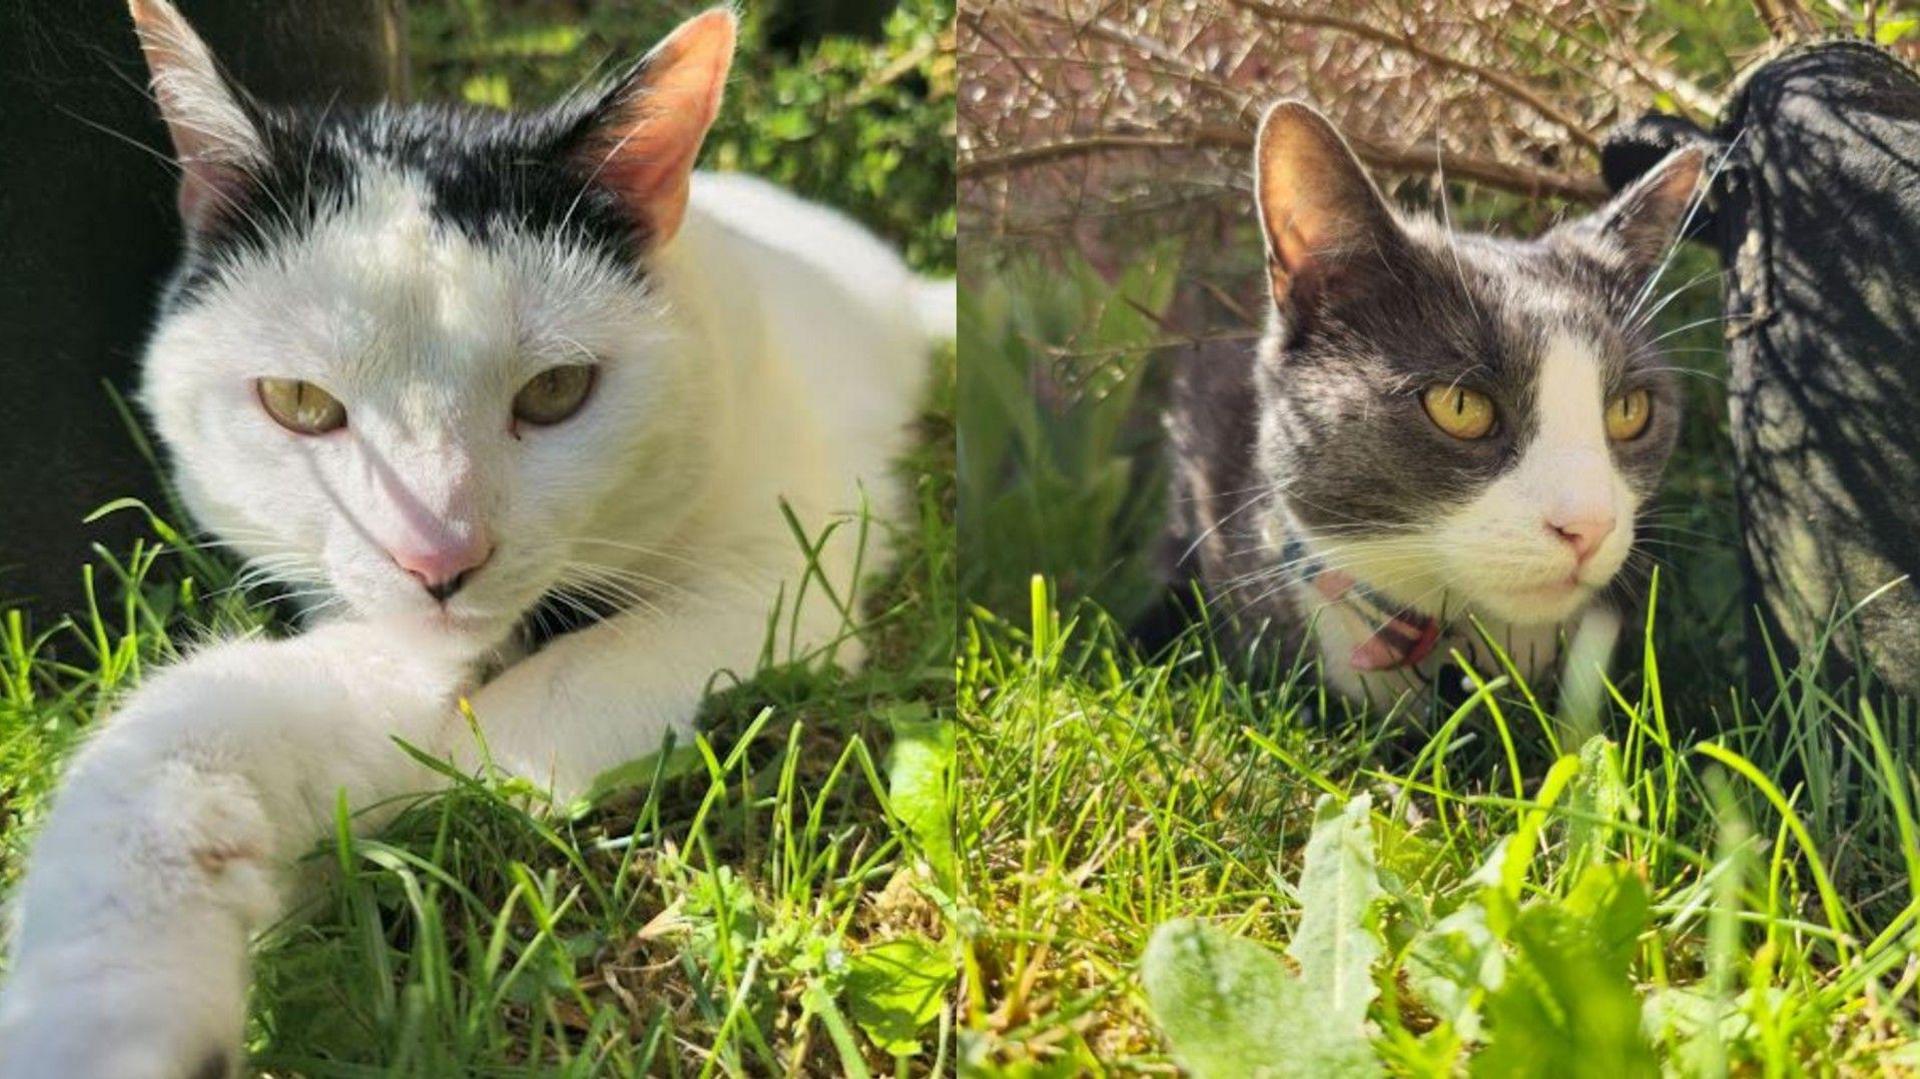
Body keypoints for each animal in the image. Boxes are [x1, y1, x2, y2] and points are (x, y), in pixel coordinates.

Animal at [0, 4, 948, 1067]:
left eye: (558, 390)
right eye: (299, 402)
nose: (439, 557)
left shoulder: (782, 575)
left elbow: (537, 714)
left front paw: (439, 804)